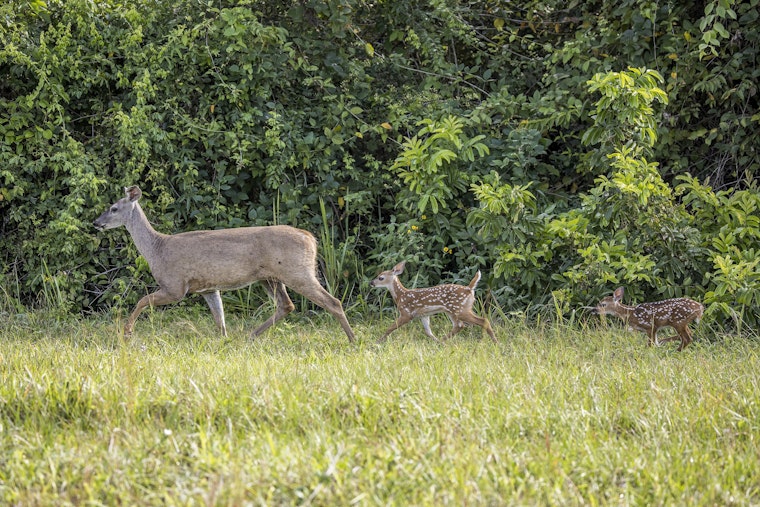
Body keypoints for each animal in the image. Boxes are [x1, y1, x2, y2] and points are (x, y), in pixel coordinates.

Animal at [93, 185, 355, 342]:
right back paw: (250, 336)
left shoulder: (175, 286)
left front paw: (126, 332)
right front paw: (224, 341)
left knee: (332, 302)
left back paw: (352, 339)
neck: (157, 249)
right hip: (270, 277)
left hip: (296, 272)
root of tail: (310, 238)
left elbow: (142, 300)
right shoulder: (208, 288)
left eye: (113, 208)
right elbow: (220, 320)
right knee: (286, 305)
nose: (96, 222)